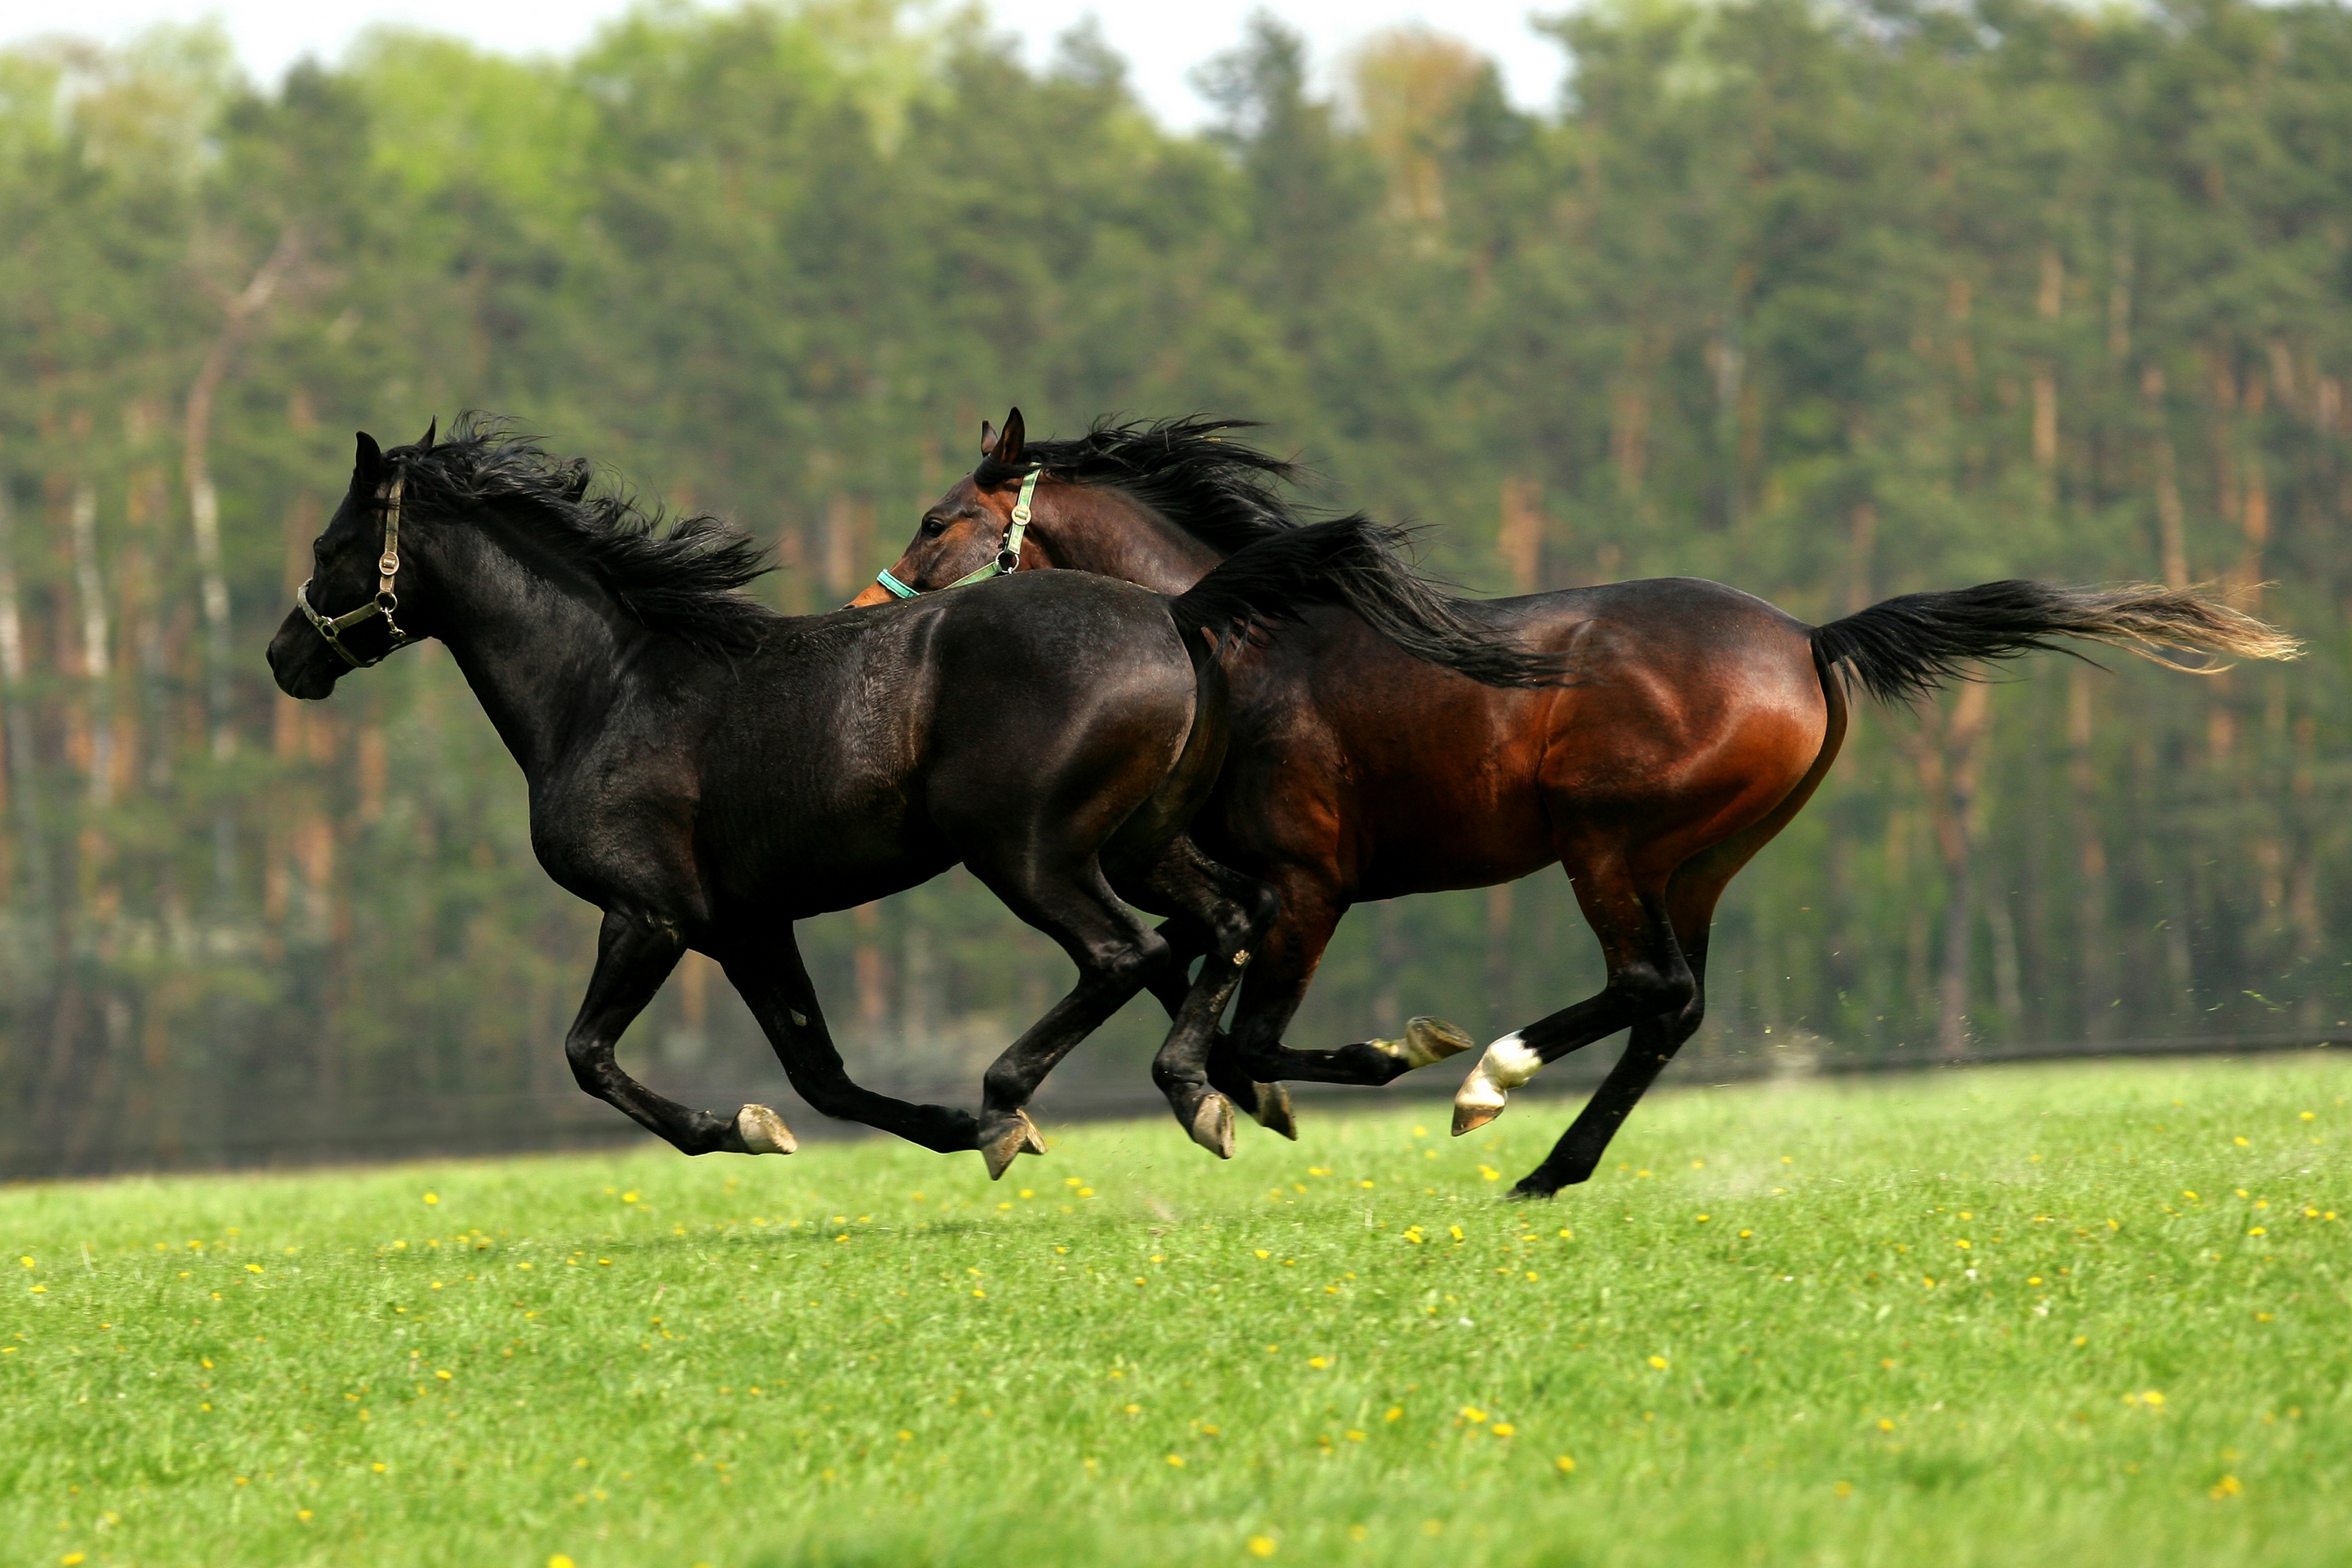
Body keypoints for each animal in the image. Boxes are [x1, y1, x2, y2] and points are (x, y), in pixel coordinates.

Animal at [266, 421, 1543, 1175]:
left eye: (331, 546)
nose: (286, 658)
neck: (610, 687)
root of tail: (1177, 614)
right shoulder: (746, 926)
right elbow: (820, 1074)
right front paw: (852, 1125)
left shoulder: (649, 916)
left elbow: (589, 1055)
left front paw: (741, 1131)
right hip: (1140, 844)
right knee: (1225, 924)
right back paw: (1254, 1081)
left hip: (1028, 854)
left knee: (1126, 954)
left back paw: (1024, 1102)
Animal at [851, 411, 2295, 1194]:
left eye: (938, 517)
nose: (871, 613)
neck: (1238, 644)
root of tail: (1808, 637)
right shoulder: (1221, 888)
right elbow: (1192, 1011)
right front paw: (1236, 1101)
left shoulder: (1304, 887)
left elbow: (1244, 1035)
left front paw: (1384, 1060)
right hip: (1697, 863)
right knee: (1675, 1006)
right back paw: (1551, 1164)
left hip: (1608, 845)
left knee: (1648, 990)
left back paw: (1492, 1085)